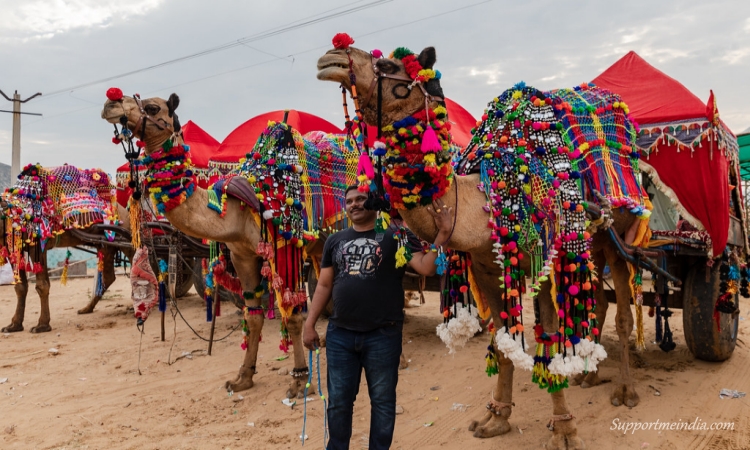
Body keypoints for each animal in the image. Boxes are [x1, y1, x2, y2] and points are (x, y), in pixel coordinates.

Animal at [1, 163, 134, 332]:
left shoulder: (39, 246)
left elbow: (42, 285)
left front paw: (42, 325)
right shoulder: (13, 249)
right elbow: (20, 287)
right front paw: (14, 325)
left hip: (125, 235)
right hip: (105, 244)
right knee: (109, 276)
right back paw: (86, 309)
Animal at [318, 37, 656, 448]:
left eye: (387, 64)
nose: (333, 56)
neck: (483, 195)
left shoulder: (542, 258)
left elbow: (547, 336)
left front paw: (564, 430)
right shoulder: (485, 266)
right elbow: (502, 339)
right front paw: (495, 418)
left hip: (618, 234)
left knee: (623, 311)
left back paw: (625, 391)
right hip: (591, 245)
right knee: (597, 302)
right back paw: (585, 374)